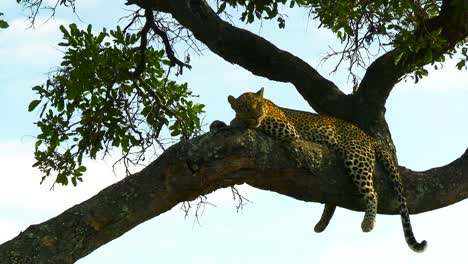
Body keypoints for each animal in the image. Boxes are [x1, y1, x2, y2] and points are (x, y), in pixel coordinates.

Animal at [228, 87, 428, 253]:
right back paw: (321, 224)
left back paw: (368, 223)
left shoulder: (287, 129)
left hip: (357, 158)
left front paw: (235, 121)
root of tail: (367, 135)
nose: (254, 116)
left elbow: (258, 123)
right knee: (331, 197)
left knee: (372, 192)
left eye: (259, 105)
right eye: (244, 107)